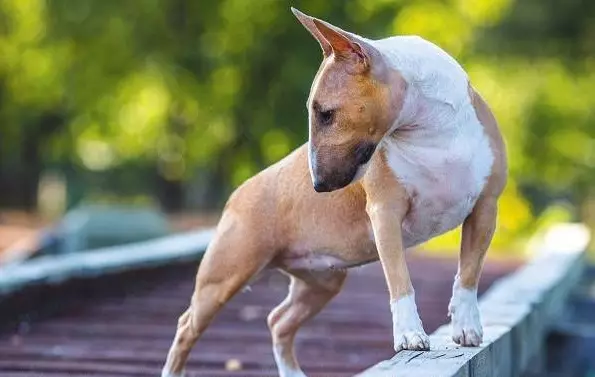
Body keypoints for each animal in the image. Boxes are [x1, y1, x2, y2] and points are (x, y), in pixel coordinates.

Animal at [162, 8, 508, 376]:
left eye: (326, 114)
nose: (318, 186)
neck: (431, 130)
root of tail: (238, 194)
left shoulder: (485, 208)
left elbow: (468, 274)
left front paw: (467, 328)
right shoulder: (385, 214)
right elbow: (400, 278)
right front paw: (410, 336)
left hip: (320, 282)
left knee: (278, 321)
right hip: (224, 276)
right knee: (187, 325)